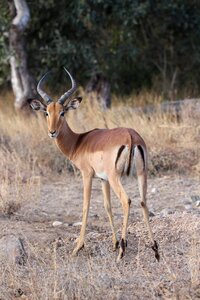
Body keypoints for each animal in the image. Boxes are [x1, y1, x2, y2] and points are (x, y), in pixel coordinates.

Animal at [29, 69, 159, 262]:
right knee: (143, 202)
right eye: (47, 112)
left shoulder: (87, 175)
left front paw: (78, 247)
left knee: (127, 201)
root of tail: (131, 137)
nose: (52, 132)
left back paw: (122, 251)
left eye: (62, 112)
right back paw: (155, 250)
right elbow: (107, 207)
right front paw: (113, 244)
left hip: (116, 177)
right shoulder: (103, 180)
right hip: (141, 174)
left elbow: (86, 206)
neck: (78, 142)